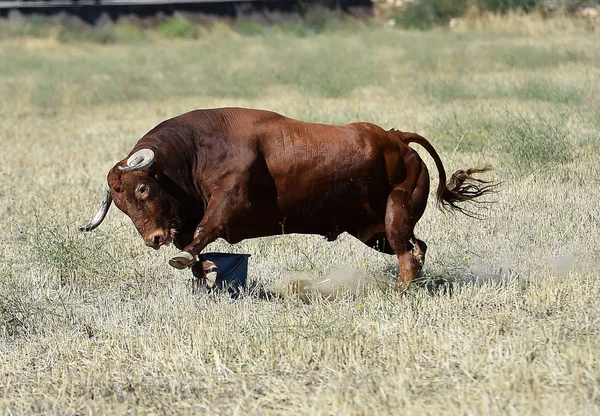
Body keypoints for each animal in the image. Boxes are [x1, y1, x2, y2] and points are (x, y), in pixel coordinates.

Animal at [82, 108, 494, 290]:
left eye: (142, 189)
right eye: (120, 206)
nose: (152, 239)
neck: (196, 150)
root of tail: (395, 138)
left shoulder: (229, 200)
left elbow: (204, 230)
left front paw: (187, 260)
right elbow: (195, 246)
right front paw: (205, 270)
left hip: (395, 214)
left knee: (407, 253)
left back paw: (401, 292)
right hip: (372, 229)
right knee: (416, 246)